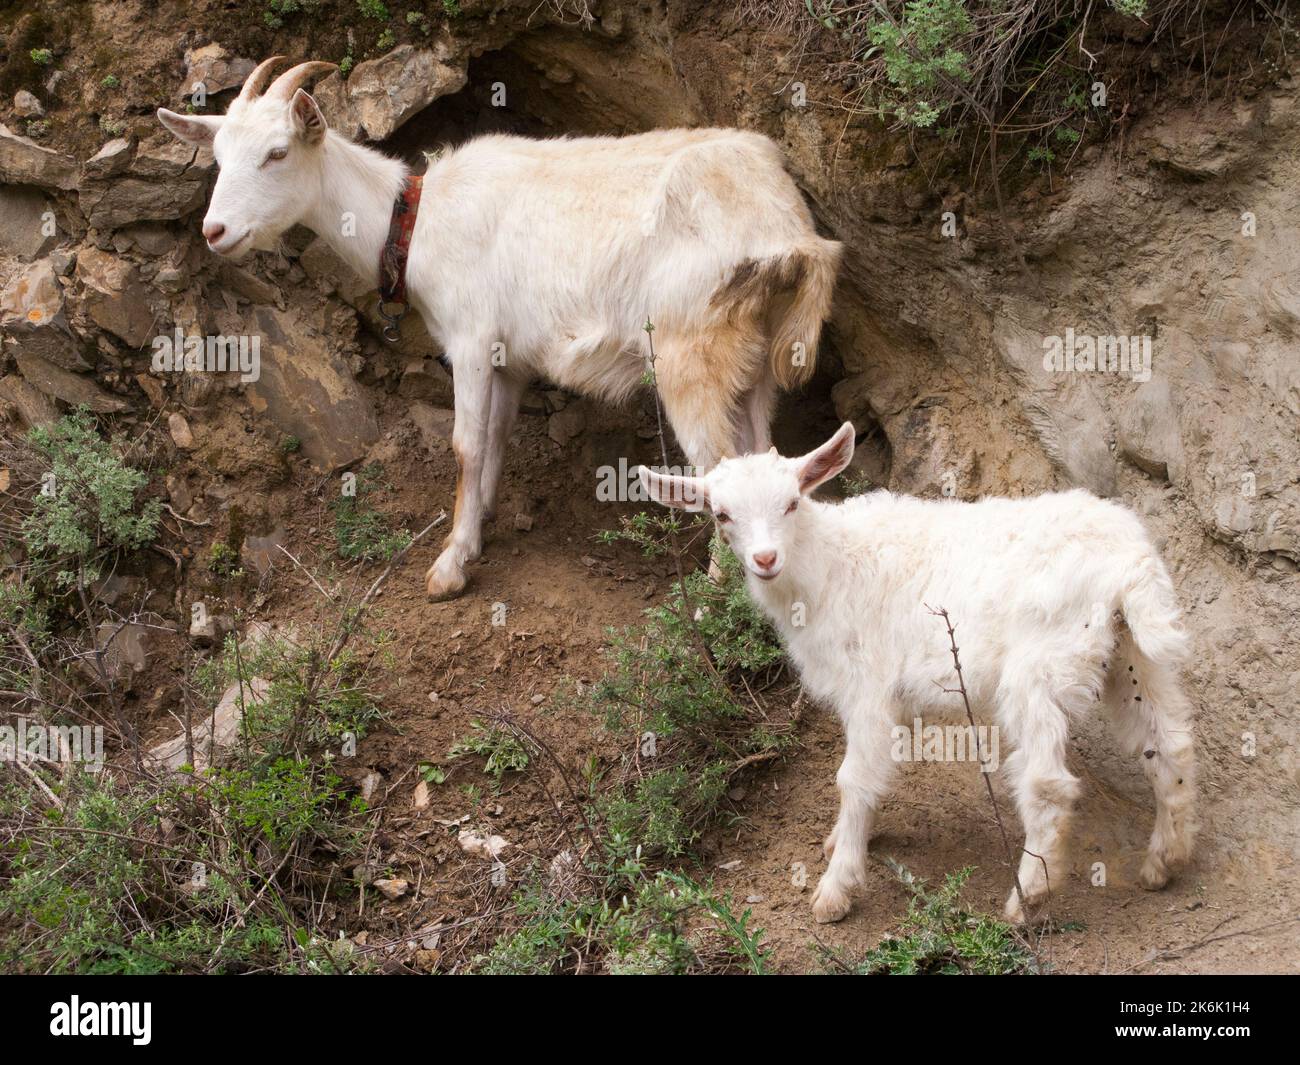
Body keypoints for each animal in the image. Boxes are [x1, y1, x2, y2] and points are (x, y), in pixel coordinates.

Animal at [157, 58, 842, 600]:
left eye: (277, 153)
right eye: (218, 156)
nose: (215, 231)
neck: (414, 222)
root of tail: (792, 233)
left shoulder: (468, 339)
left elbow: (465, 443)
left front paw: (447, 568)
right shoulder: (509, 359)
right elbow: (494, 440)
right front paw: (477, 527)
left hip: (689, 350)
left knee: (717, 466)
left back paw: (714, 597)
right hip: (752, 359)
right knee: (761, 452)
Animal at [639, 423, 1197, 924]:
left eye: (792, 503)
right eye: (722, 514)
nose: (765, 558)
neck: (827, 565)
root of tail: (1131, 563)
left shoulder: (867, 686)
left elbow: (853, 779)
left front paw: (836, 890)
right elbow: (873, 775)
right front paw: (846, 841)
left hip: (1041, 666)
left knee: (1048, 783)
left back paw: (1028, 899)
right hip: (1133, 656)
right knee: (1168, 745)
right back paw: (1163, 862)